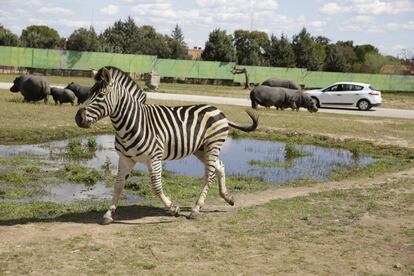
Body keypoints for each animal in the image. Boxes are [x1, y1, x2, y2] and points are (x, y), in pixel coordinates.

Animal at [74, 67, 256, 224]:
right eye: (89, 93)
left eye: (101, 95)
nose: (78, 118)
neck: (132, 123)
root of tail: (218, 110)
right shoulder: (126, 158)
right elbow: (118, 186)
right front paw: (108, 214)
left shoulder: (154, 158)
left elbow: (156, 187)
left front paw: (173, 209)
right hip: (201, 149)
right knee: (220, 166)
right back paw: (228, 198)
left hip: (212, 145)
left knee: (209, 175)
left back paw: (195, 210)